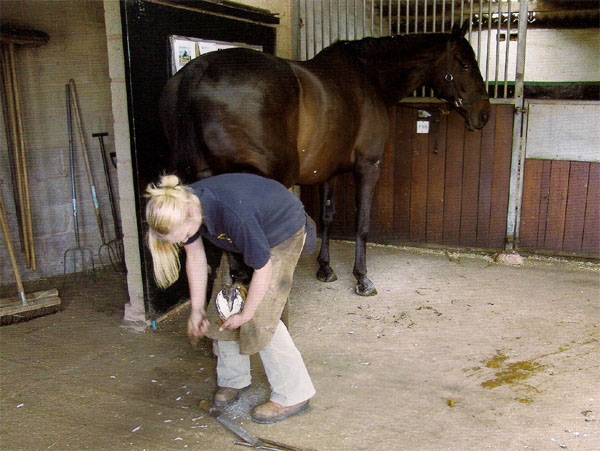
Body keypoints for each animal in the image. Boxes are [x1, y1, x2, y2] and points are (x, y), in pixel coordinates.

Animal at [159, 20, 490, 296]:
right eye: (464, 63)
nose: (483, 115)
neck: (369, 77)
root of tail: (199, 68)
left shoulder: (327, 171)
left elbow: (328, 217)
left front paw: (325, 268)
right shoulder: (369, 167)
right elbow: (362, 222)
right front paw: (362, 278)